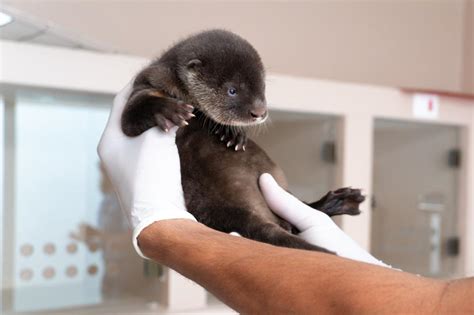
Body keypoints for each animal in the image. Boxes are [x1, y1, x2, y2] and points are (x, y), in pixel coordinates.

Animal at [122, 29, 362, 252]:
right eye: (232, 90)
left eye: (263, 87)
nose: (260, 112)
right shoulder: (148, 82)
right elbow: (133, 115)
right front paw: (170, 110)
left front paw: (232, 134)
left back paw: (341, 200)